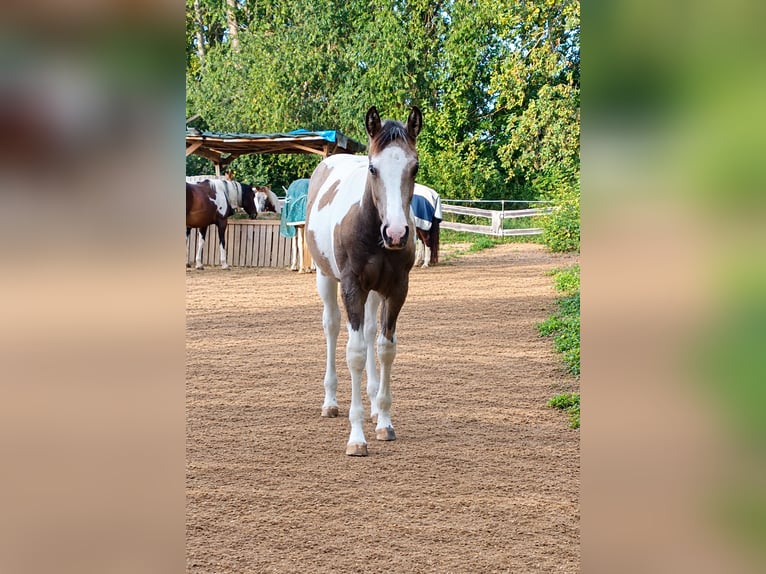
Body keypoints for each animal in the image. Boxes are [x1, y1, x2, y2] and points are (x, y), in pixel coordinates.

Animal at [306, 105, 422, 456]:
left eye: (415, 167)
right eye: (373, 168)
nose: (396, 233)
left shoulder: (396, 289)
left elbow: (385, 348)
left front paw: (384, 421)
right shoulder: (352, 287)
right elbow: (355, 352)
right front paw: (356, 437)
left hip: (374, 292)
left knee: (370, 331)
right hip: (326, 280)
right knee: (332, 327)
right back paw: (330, 402)